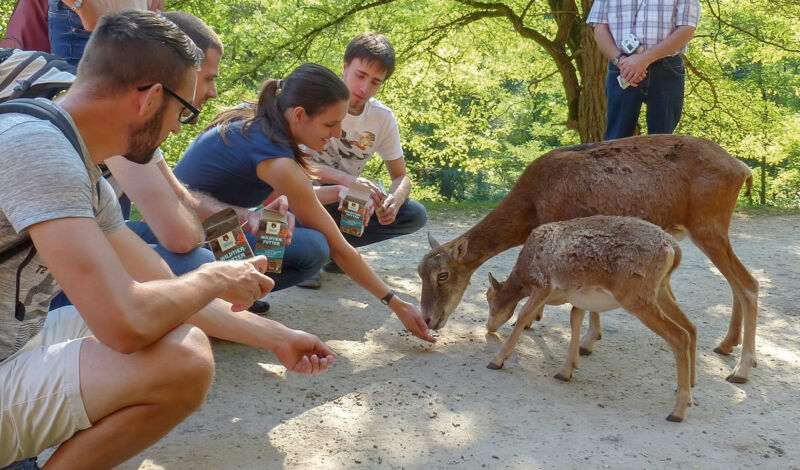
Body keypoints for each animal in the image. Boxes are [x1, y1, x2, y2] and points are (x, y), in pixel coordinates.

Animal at [418, 135, 756, 382]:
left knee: (748, 283)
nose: (429, 319)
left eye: (443, 275)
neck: (532, 205)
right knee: (736, 282)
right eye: (420, 272)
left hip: (708, 226)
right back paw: (726, 345)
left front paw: (575, 337)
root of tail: (742, 168)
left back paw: (741, 369)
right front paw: (582, 337)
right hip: (714, 229)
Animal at [482, 217, 692, 422]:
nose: (488, 326)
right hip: (660, 291)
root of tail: (674, 249)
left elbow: (523, 314)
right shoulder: (579, 296)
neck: (523, 277)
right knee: (691, 328)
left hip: (636, 298)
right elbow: (575, 318)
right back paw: (688, 394)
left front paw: (497, 360)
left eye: (488, 297)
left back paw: (677, 412)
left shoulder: (543, 284)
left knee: (679, 335)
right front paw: (567, 370)